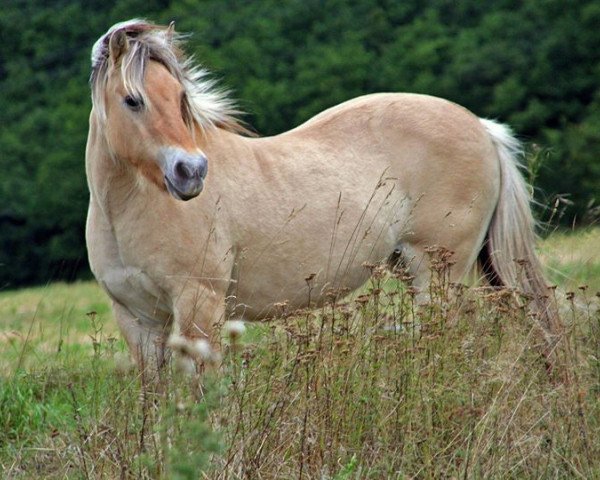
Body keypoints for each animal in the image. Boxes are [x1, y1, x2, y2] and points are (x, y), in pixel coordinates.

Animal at [84, 19, 556, 376]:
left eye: (181, 98)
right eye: (132, 100)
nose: (192, 172)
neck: (128, 210)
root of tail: (482, 127)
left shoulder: (198, 308)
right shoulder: (138, 322)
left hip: (439, 274)